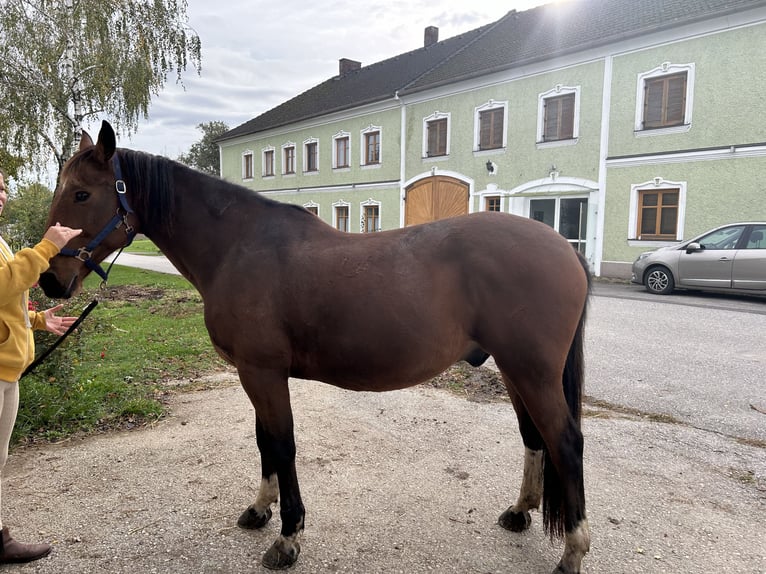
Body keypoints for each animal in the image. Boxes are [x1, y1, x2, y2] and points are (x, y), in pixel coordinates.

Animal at [40, 122, 592, 574]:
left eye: (83, 194)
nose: (49, 279)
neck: (239, 247)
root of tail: (565, 249)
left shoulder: (262, 372)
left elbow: (282, 446)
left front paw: (288, 538)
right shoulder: (253, 374)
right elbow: (264, 442)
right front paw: (259, 510)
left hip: (532, 372)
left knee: (565, 442)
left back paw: (573, 551)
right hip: (516, 371)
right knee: (535, 437)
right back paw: (519, 513)